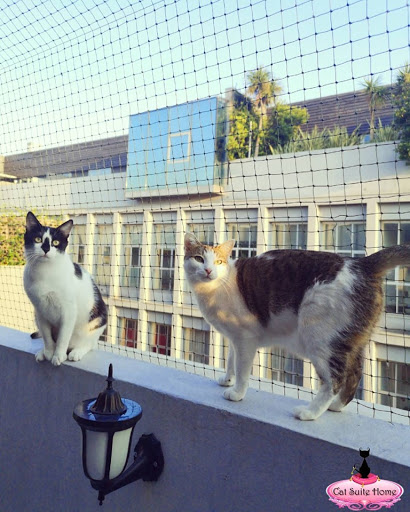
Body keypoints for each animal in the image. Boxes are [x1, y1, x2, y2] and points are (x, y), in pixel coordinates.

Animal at [23, 211, 107, 366]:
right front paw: (48, 352)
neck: (45, 272)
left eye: (55, 242)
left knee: (89, 344)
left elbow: (63, 337)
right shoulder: (40, 311)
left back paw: (76, 352)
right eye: (37, 239)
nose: (46, 249)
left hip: (97, 320)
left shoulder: (68, 311)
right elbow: (47, 336)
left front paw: (58, 355)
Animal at [184, 232, 410, 421]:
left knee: (334, 379)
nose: (208, 270)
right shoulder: (234, 338)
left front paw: (237, 392)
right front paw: (227, 380)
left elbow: (242, 369)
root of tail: (362, 264)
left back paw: (310, 413)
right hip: (348, 340)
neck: (217, 286)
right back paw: (336, 406)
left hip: (320, 338)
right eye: (199, 258)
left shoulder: (245, 339)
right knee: (354, 374)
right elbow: (231, 361)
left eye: (218, 261)